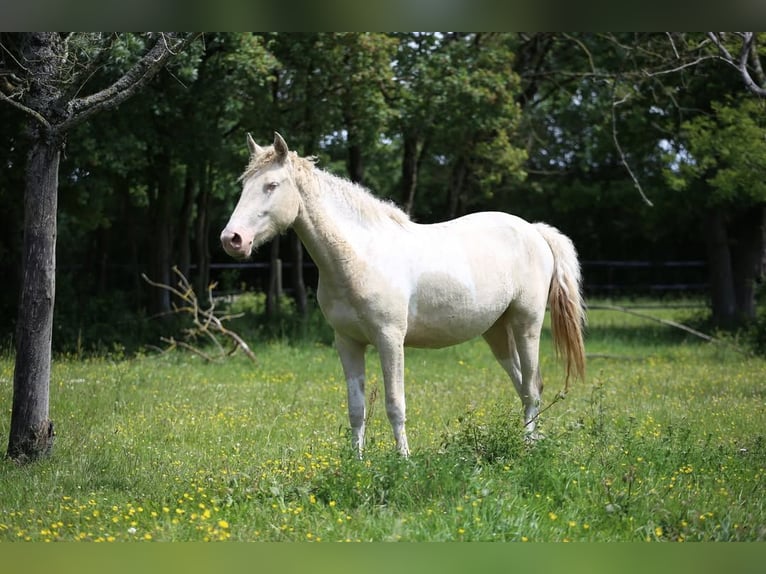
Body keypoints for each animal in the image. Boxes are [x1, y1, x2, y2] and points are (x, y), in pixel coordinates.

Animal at [221, 132, 586, 456]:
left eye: (272, 185)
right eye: (243, 185)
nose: (232, 239)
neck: (360, 256)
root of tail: (534, 230)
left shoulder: (390, 338)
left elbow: (395, 403)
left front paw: (403, 460)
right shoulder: (347, 342)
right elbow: (356, 408)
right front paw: (356, 462)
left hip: (527, 324)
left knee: (532, 388)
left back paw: (528, 446)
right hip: (496, 331)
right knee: (523, 386)